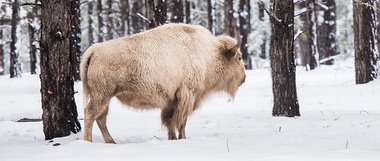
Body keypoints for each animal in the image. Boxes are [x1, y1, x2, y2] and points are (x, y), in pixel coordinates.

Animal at [80, 23, 246, 143]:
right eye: (239, 57)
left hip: (106, 96)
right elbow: (181, 121)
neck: (208, 55)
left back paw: (111, 142)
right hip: (102, 94)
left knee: (101, 117)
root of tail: (93, 50)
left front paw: (172, 138)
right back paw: (88, 141)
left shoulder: (172, 101)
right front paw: (182, 139)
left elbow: (170, 121)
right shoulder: (187, 96)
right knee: (90, 113)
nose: (244, 78)